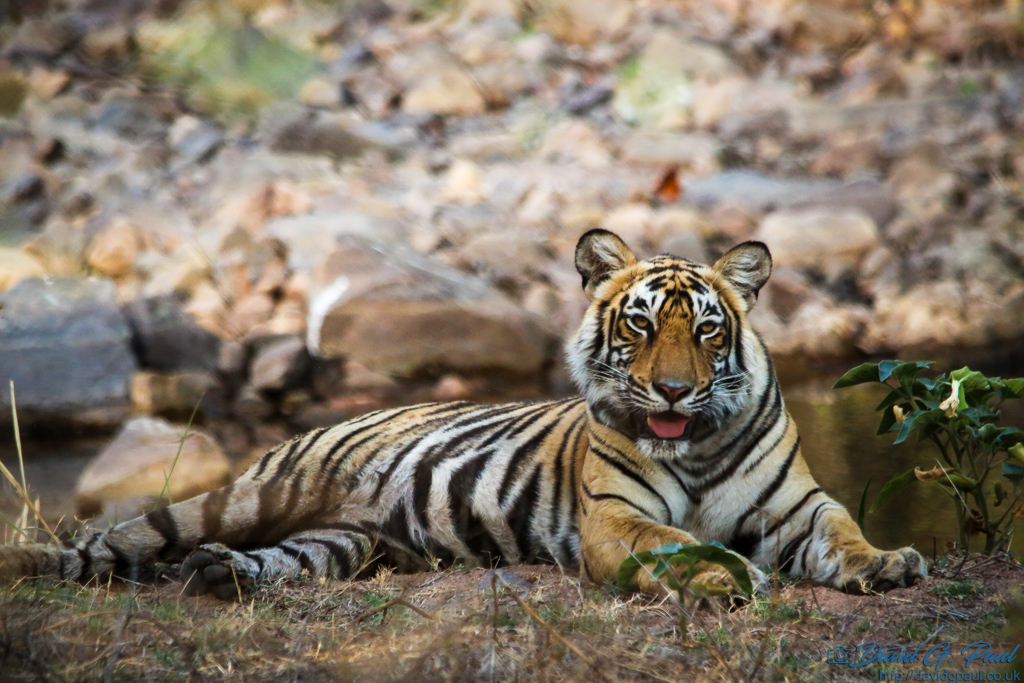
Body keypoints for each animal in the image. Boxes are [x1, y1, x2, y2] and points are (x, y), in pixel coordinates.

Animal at [0, 229, 926, 600]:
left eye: (704, 329)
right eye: (639, 325)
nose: (669, 391)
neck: (691, 445)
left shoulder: (798, 505)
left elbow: (844, 531)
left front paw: (888, 563)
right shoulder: (615, 519)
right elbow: (678, 540)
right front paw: (723, 576)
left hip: (340, 541)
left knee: (273, 560)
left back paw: (221, 575)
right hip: (244, 496)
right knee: (117, 537)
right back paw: (54, 564)